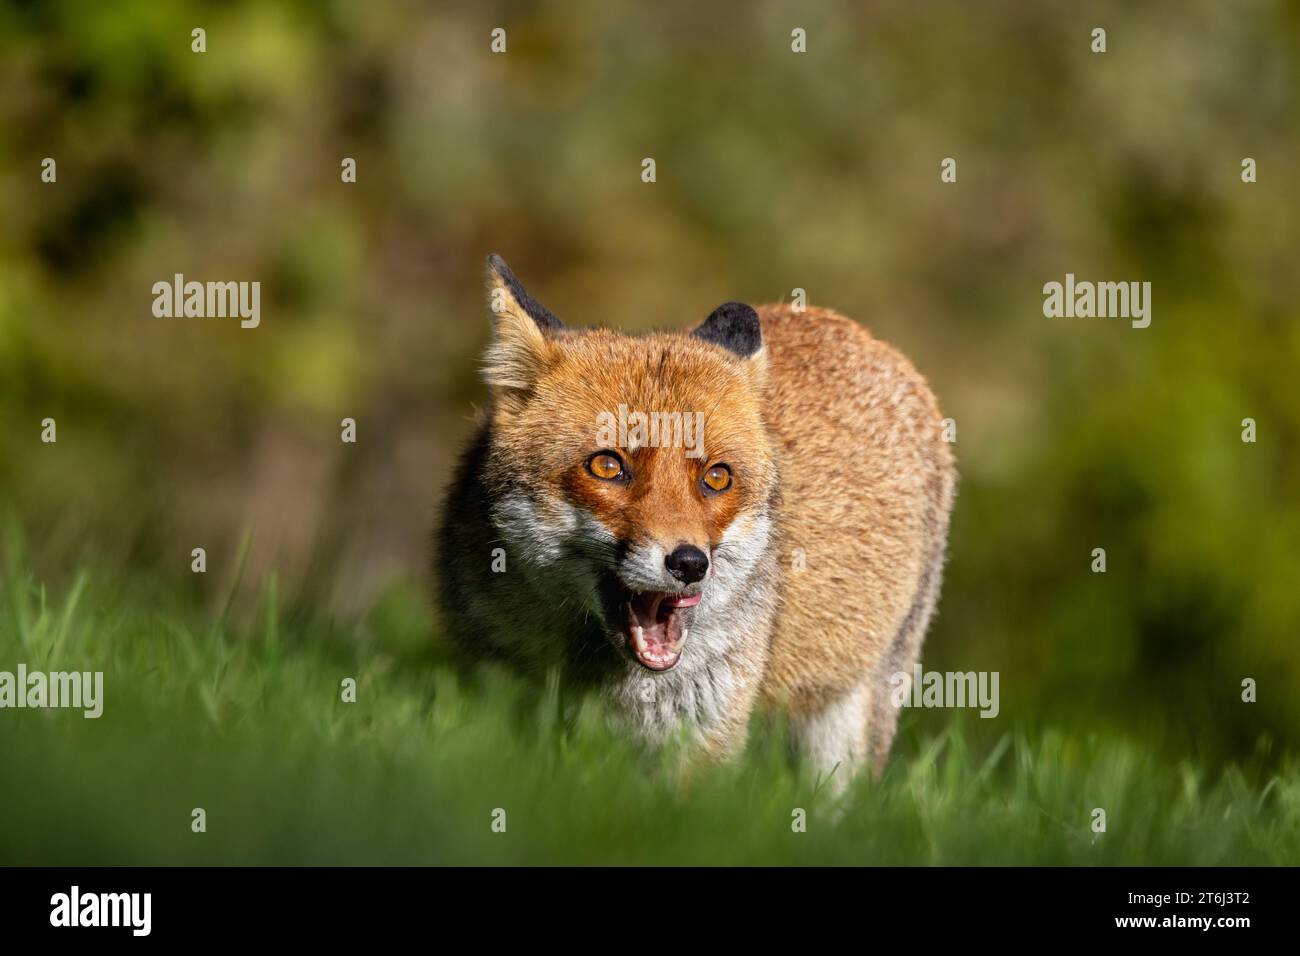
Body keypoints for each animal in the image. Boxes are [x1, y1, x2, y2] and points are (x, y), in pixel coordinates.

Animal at [437, 255, 956, 781]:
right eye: (608, 466)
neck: (591, 663)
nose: (689, 564)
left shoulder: (698, 736)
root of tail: (855, 330)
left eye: (717, 477)